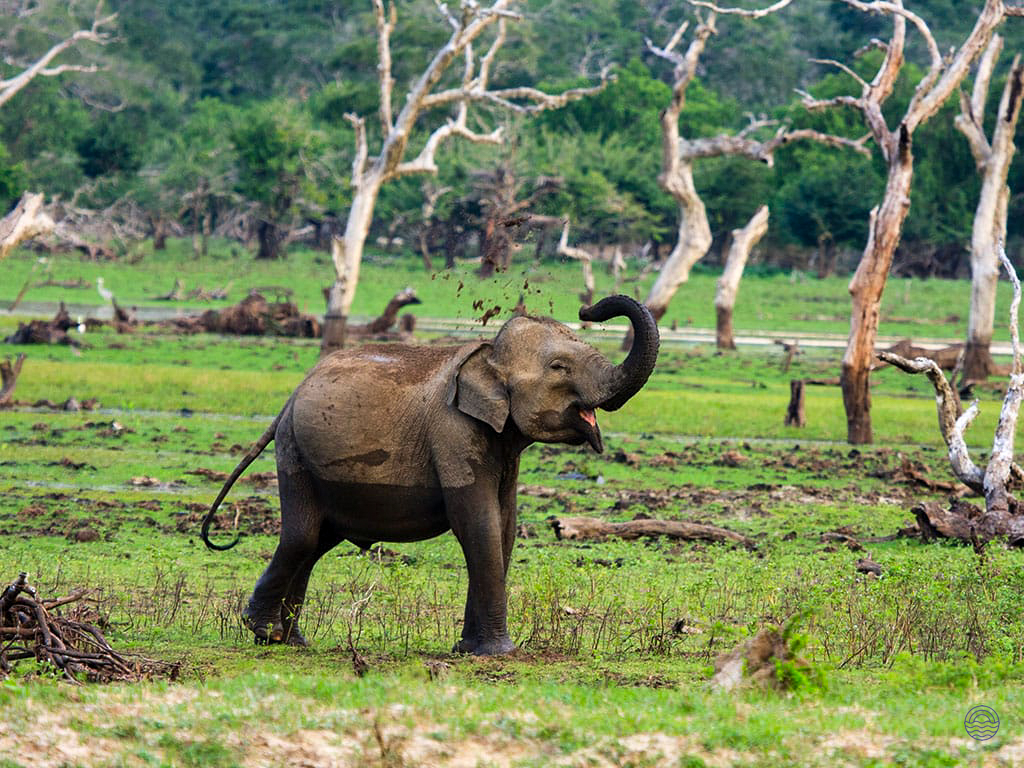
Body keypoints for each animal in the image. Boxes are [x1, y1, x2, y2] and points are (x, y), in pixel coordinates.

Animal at [200, 294, 659, 655]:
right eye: (559, 367)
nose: (587, 307)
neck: (486, 354)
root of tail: (291, 395)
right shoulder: (453, 432)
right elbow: (478, 523)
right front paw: (499, 653)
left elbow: (504, 526)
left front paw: (468, 649)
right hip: (293, 450)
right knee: (301, 536)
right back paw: (264, 632)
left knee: (315, 543)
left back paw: (291, 641)